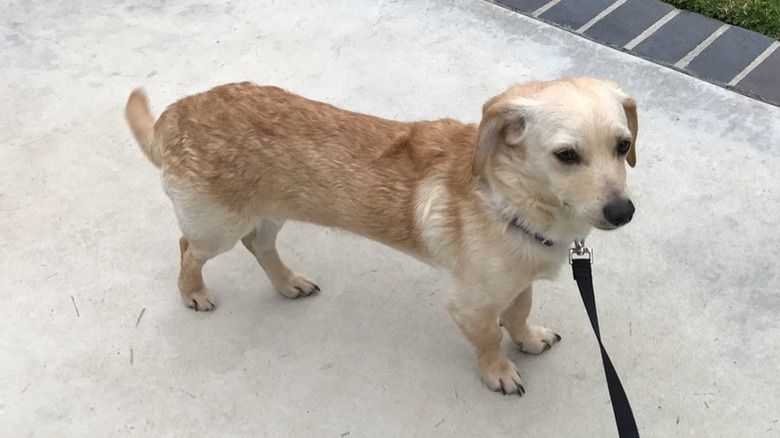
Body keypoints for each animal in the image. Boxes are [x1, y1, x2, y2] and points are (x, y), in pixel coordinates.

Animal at [125, 77, 636, 396]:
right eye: (566, 155)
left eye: (623, 145)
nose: (623, 212)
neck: (509, 197)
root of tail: (174, 114)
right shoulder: (469, 304)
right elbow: (489, 339)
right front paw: (500, 372)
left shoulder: (517, 280)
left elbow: (518, 313)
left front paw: (527, 339)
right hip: (217, 228)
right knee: (189, 250)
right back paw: (193, 292)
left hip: (271, 211)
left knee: (260, 245)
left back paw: (288, 283)